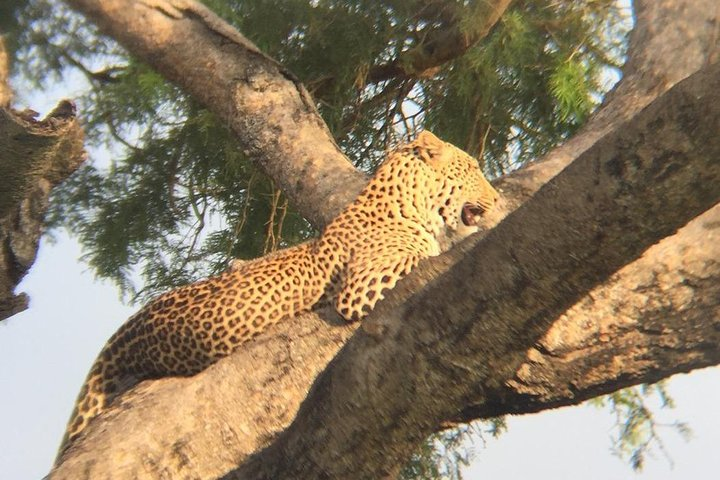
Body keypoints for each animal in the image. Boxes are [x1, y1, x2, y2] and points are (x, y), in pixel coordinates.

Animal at [56, 131, 499, 459]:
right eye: (473, 168)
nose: (496, 198)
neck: (409, 204)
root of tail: (128, 326)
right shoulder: (360, 289)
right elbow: (426, 256)